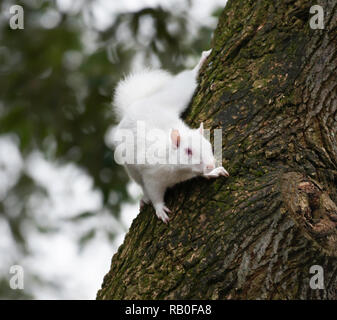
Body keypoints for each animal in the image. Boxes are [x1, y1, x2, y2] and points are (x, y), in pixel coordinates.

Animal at [113, 50, 228, 225]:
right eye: (188, 151)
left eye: (209, 145)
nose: (210, 165)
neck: (181, 172)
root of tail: (137, 105)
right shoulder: (151, 176)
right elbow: (154, 194)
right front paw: (160, 209)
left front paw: (212, 172)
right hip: (131, 168)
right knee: (141, 185)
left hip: (178, 95)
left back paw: (201, 62)